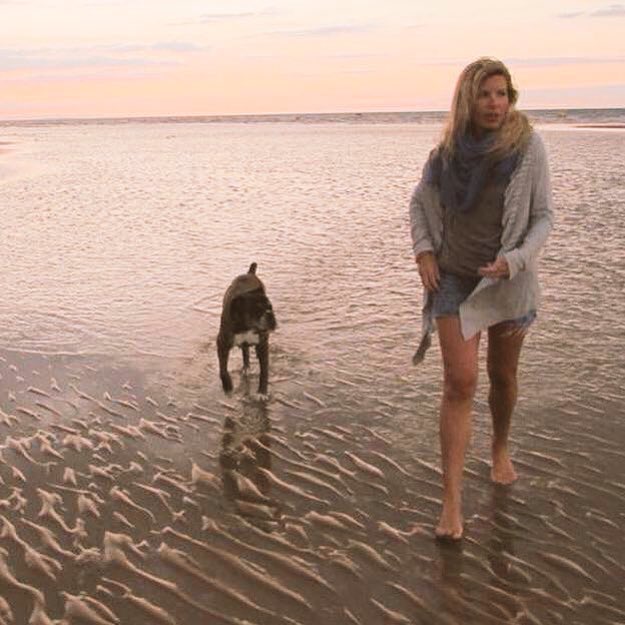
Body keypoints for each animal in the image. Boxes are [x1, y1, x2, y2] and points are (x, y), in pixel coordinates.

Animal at [217, 263, 277, 396]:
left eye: (270, 307)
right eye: (257, 310)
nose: (269, 314)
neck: (246, 327)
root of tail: (250, 273)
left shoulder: (263, 345)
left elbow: (264, 371)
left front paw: (262, 393)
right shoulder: (222, 344)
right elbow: (222, 369)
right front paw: (227, 386)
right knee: (245, 350)